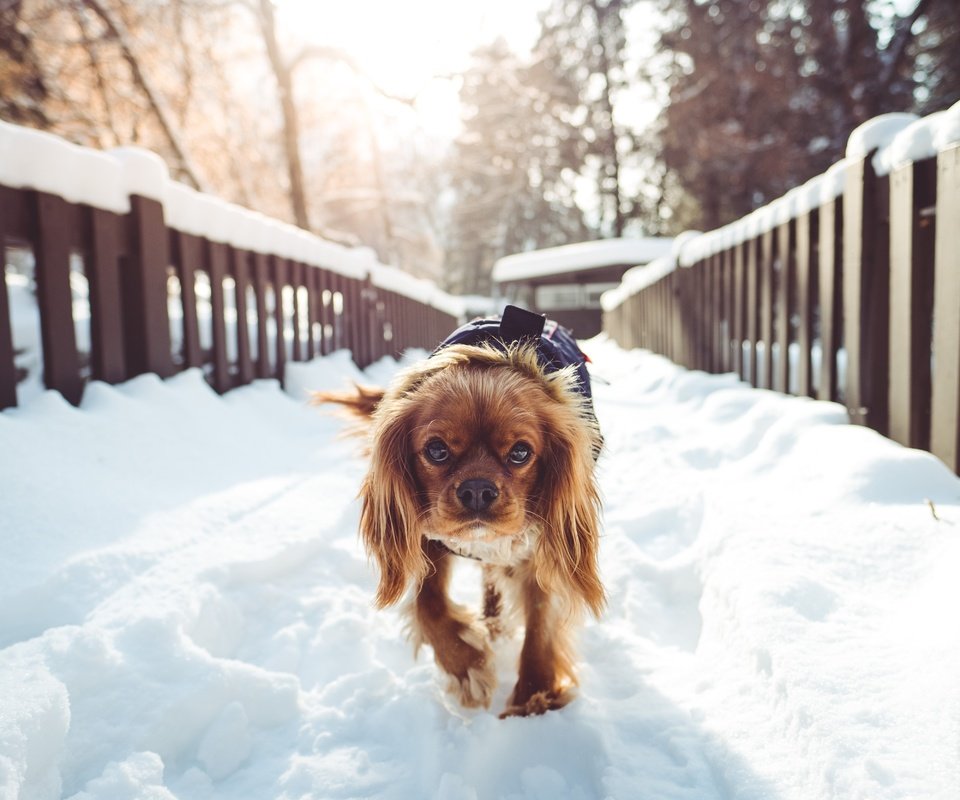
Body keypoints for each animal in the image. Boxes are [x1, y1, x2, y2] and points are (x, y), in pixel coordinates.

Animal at [318, 306, 604, 720]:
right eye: (436, 450)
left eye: (521, 452)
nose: (477, 490)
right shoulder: (430, 541)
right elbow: (429, 607)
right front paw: (468, 668)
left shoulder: (540, 551)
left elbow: (540, 625)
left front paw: (533, 700)